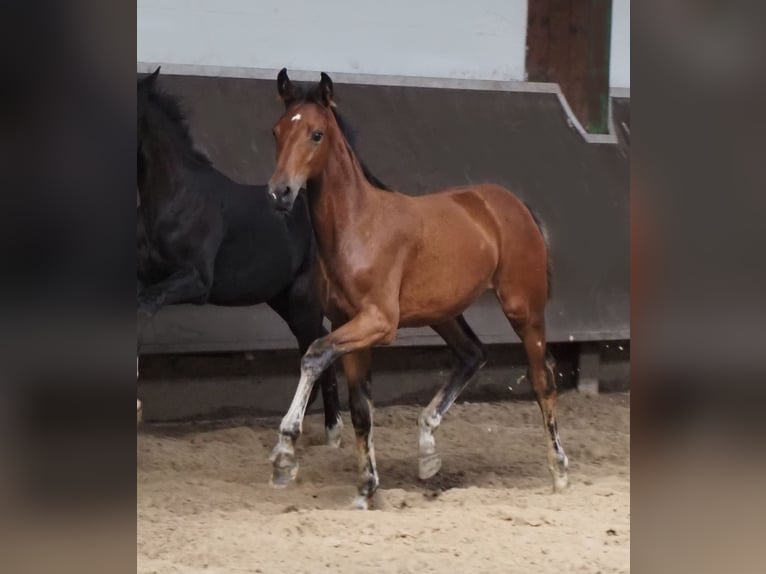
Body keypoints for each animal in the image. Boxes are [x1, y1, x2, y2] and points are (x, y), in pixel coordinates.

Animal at [268, 71, 568, 508]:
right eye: (276, 132)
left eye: (316, 134)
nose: (280, 193)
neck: (358, 227)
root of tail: (513, 204)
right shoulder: (348, 324)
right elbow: (361, 410)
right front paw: (365, 490)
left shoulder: (378, 322)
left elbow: (314, 354)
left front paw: (284, 455)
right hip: (444, 313)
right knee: (472, 354)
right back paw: (427, 450)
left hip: (523, 308)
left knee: (542, 379)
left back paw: (559, 472)